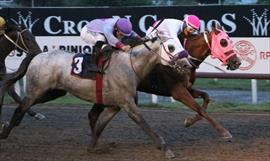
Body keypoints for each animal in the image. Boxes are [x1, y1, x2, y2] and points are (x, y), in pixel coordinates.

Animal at [0, 37, 184, 159]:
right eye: (171, 47)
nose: (186, 62)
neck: (129, 66)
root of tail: (38, 55)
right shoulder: (127, 104)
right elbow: (144, 124)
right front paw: (166, 149)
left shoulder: (114, 105)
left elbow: (100, 125)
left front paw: (92, 147)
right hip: (36, 89)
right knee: (20, 108)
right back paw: (5, 132)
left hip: (54, 92)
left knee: (23, 106)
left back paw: (9, 124)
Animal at [87, 26, 242, 148]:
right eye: (223, 42)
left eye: (229, 40)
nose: (237, 62)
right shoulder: (178, 92)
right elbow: (200, 108)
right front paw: (224, 132)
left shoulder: (187, 88)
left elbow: (206, 98)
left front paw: (189, 121)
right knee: (94, 114)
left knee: (94, 114)